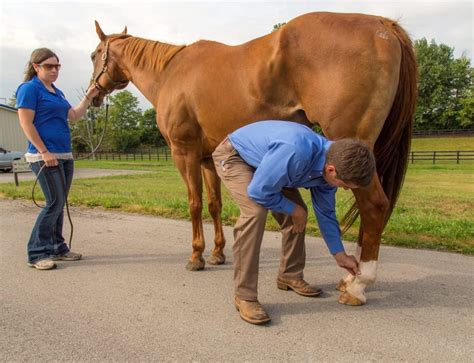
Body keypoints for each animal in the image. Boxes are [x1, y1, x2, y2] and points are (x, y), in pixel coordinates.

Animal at [89, 11, 414, 306]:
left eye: (94, 55)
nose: (92, 95)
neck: (171, 73)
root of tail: (382, 24)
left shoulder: (184, 153)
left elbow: (195, 205)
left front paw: (196, 256)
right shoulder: (208, 159)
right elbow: (214, 205)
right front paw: (218, 253)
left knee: (374, 206)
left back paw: (358, 285)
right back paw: (349, 277)